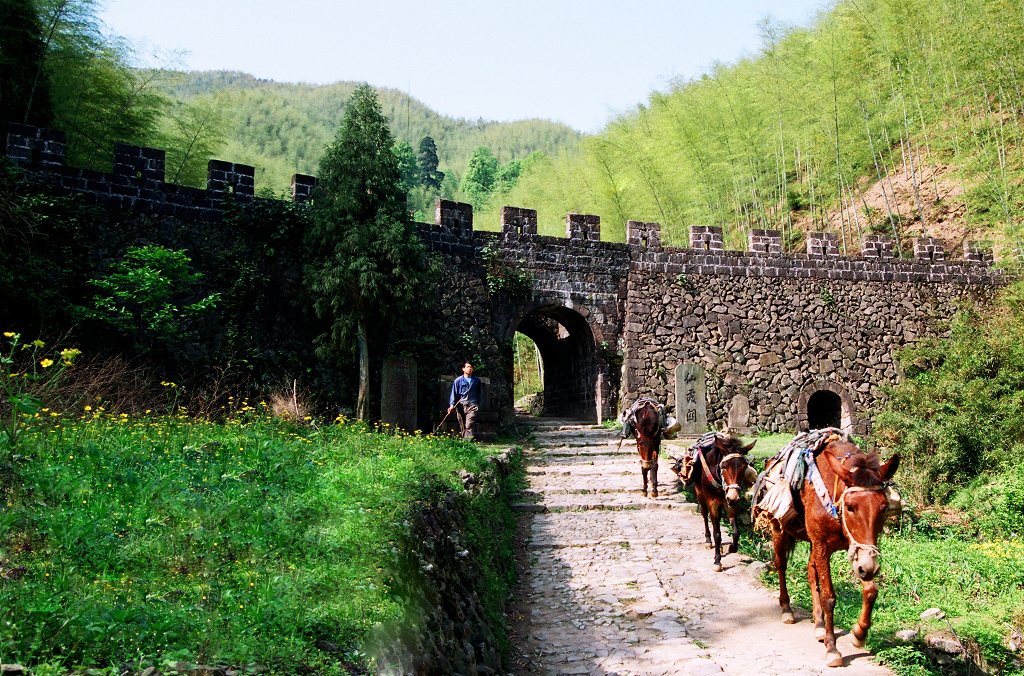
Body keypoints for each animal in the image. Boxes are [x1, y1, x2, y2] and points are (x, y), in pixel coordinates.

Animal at [675, 432, 757, 569]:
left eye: (744, 467)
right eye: (724, 466)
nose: (733, 497)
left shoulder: (728, 502)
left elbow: (736, 531)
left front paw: (732, 547)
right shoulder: (713, 502)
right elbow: (717, 533)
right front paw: (717, 560)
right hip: (700, 493)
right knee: (704, 514)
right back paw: (708, 540)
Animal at [753, 432, 905, 663]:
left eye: (884, 507)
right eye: (850, 507)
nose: (869, 568)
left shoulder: (856, 550)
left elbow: (871, 591)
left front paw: (858, 634)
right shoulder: (823, 546)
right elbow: (829, 596)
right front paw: (832, 648)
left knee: (810, 572)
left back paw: (818, 625)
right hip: (779, 528)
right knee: (781, 565)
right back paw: (787, 609)